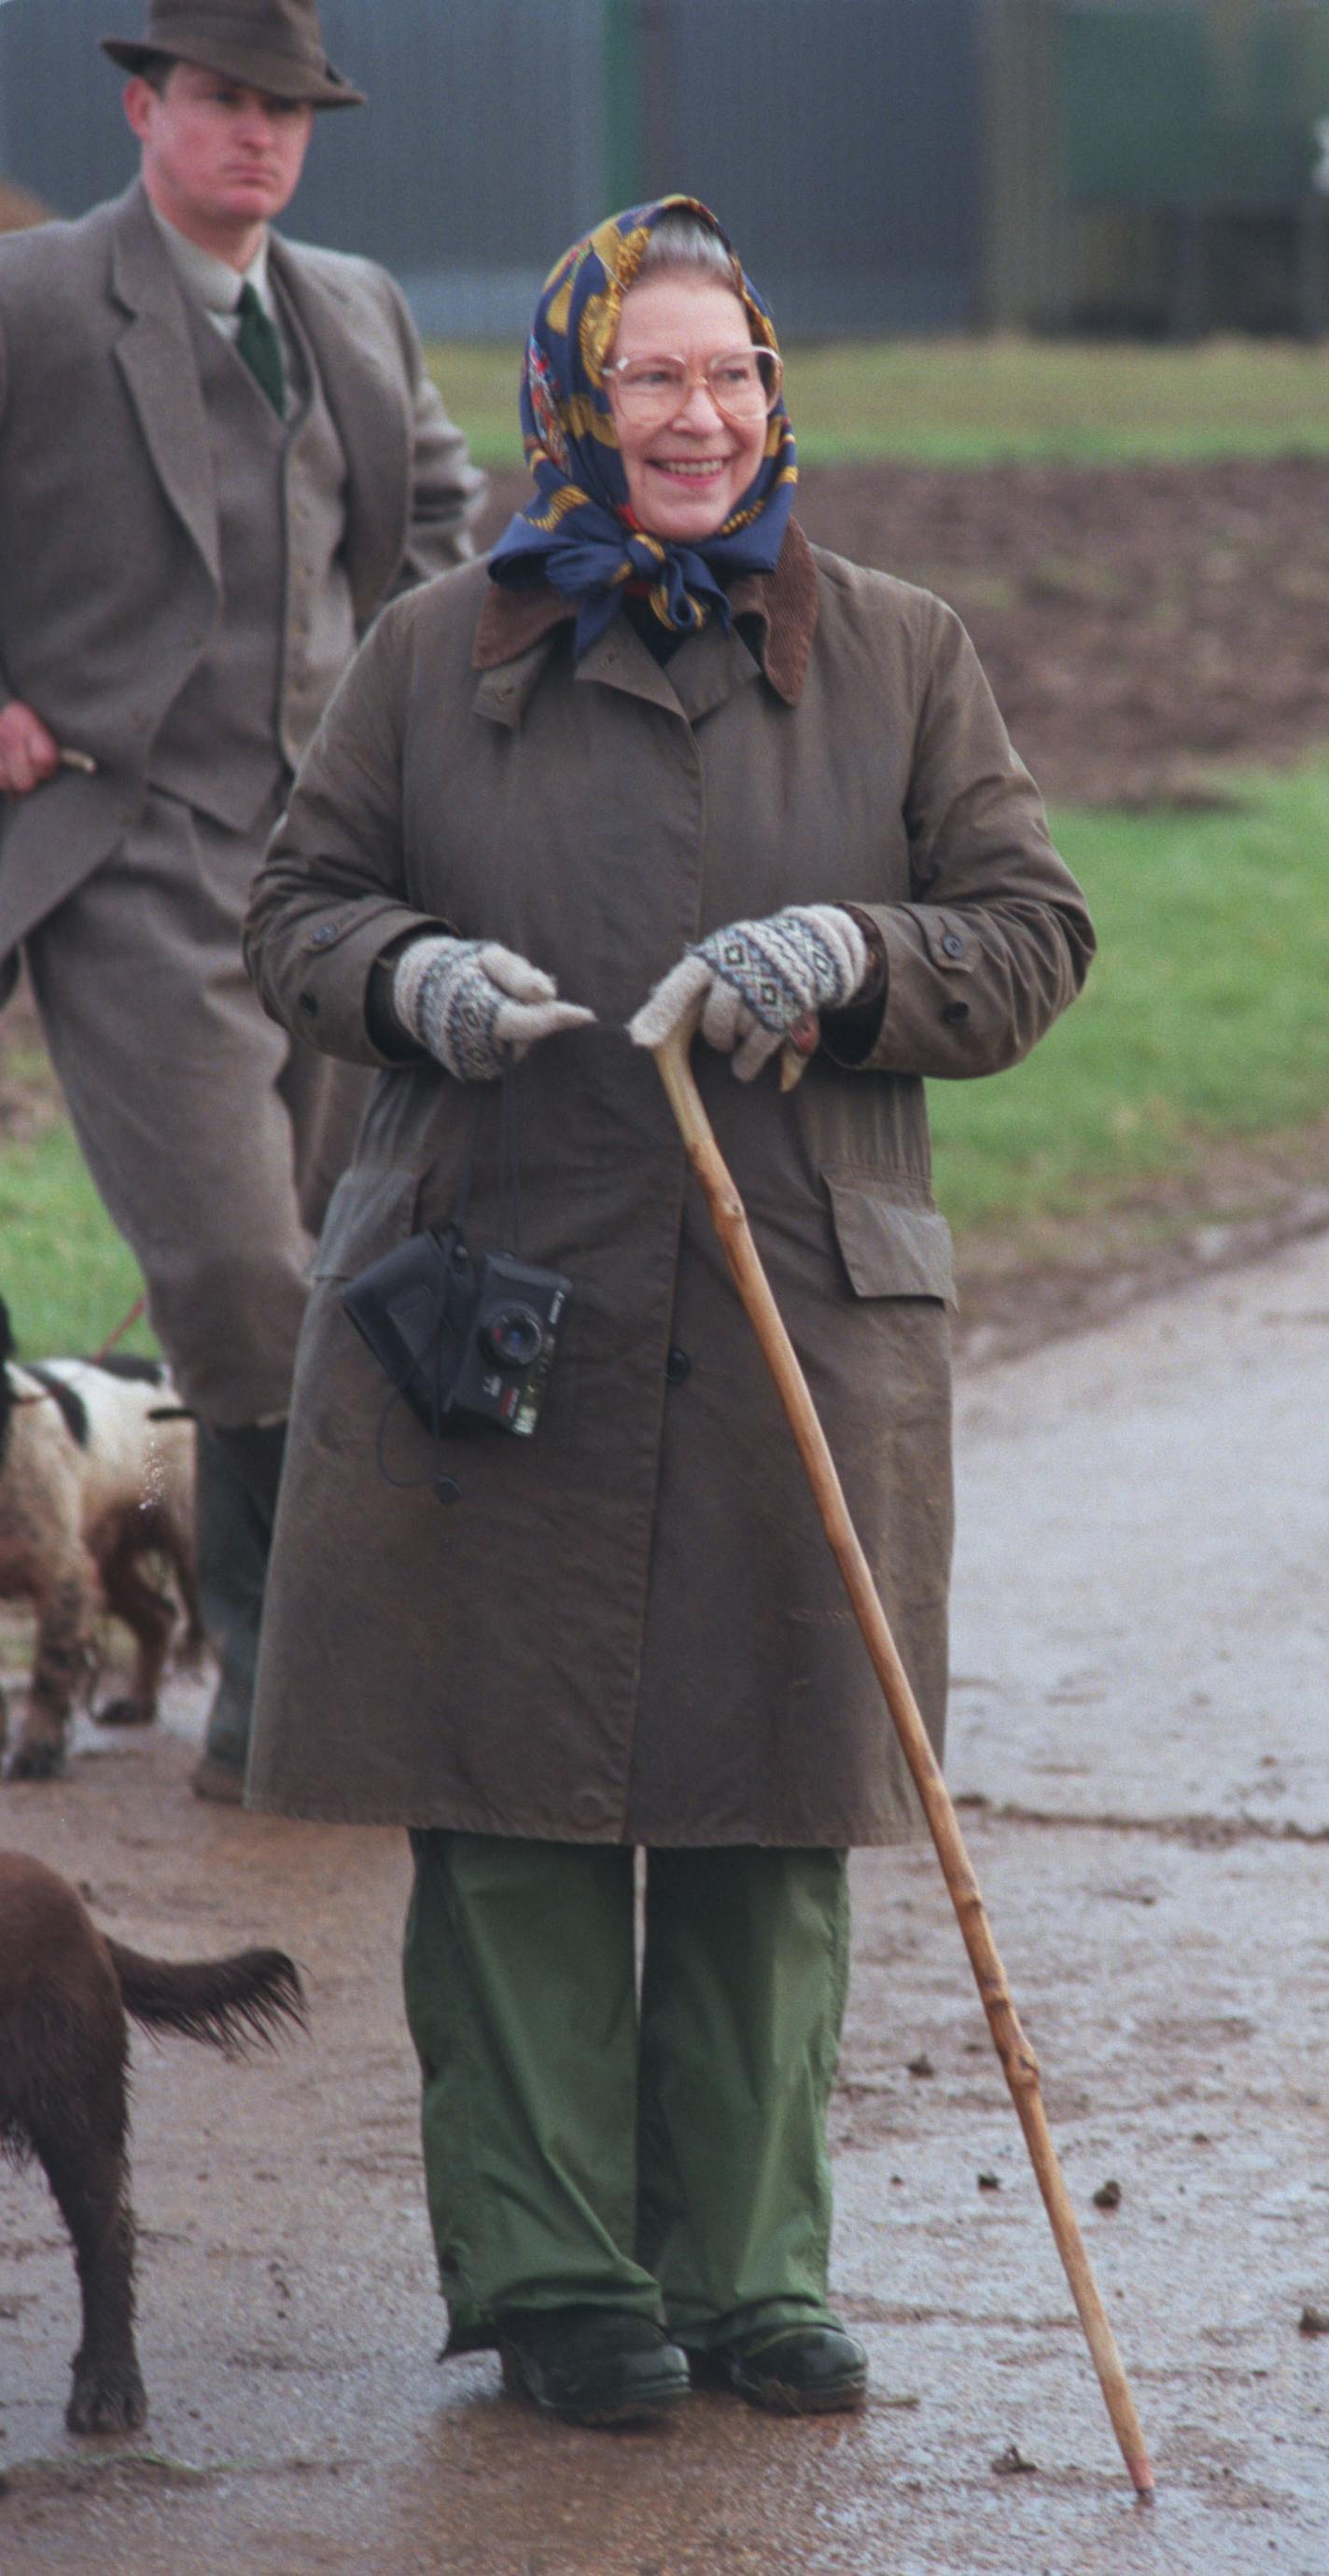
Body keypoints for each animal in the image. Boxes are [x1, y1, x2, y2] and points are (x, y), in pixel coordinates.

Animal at [0, 1298, 199, 1782]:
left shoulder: (63, 1574)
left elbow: (50, 1672)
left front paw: (38, 1752)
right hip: (108, 1560)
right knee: (160, 1614)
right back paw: (138, 1702)